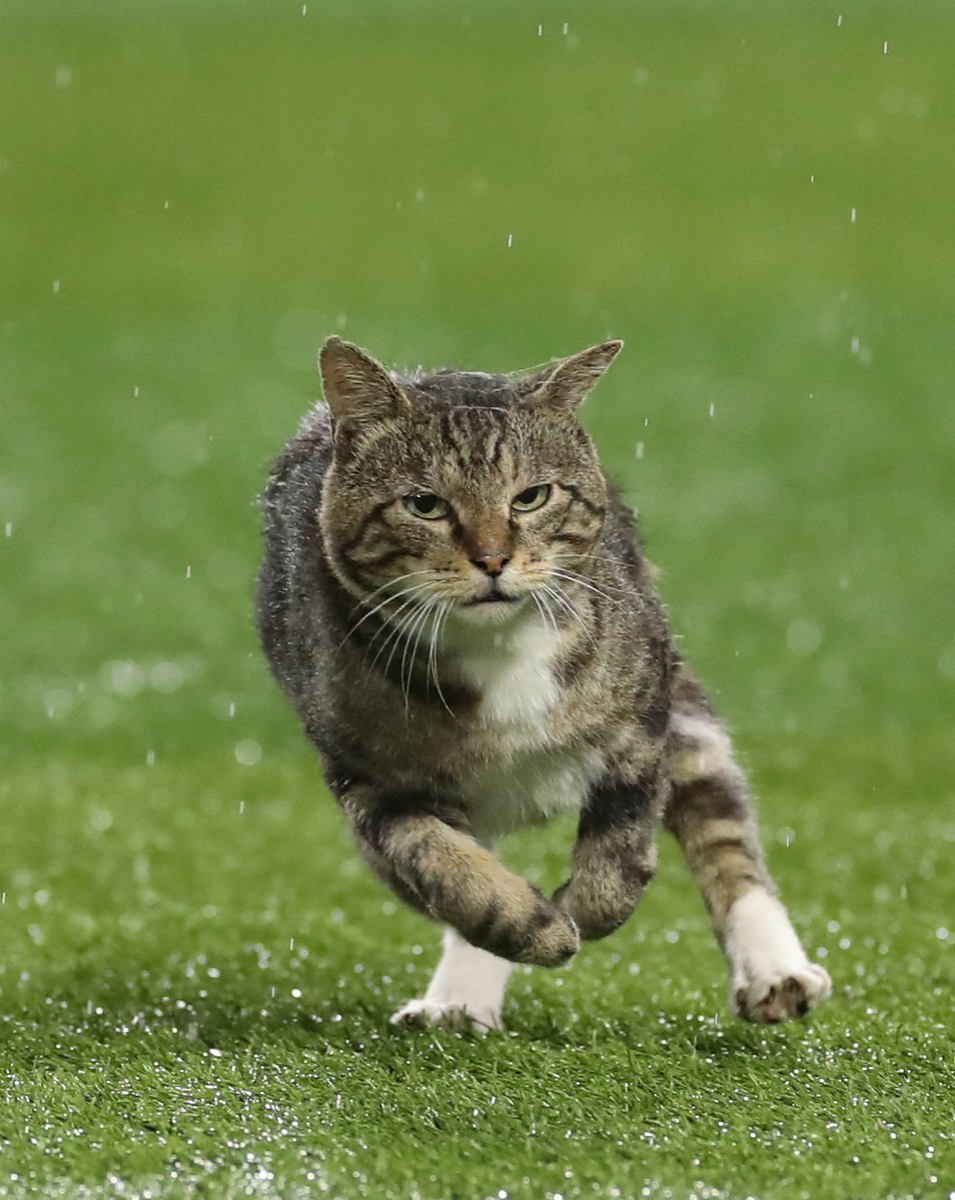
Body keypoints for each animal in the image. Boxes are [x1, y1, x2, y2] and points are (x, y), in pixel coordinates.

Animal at [257, 336, 830, 1032]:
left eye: (531, 497)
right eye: (425, 504)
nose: (493, 557)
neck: (499, 652)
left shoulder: (641, 720)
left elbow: (622, 851)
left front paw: (581, 909)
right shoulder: (372, 784)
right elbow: (448, 867)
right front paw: (535, 929)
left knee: (723, 830)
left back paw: (775, 972)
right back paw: (462, 996)